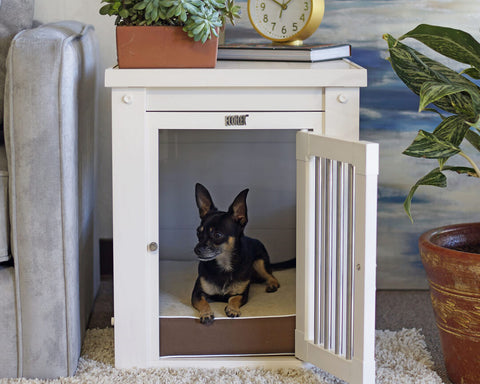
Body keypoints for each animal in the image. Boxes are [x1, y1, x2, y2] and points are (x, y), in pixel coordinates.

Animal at [192, 183, 282, 324]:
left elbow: (234, 298)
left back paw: (272, 284)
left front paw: (233, 309)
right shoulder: (197, 293)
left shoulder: (241, 294)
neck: (224, 266)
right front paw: (206, 313)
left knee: (271, 276)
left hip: (259, 263)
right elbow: (203, 302)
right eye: (198, 232)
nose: (196, 249)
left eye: (217, 235)